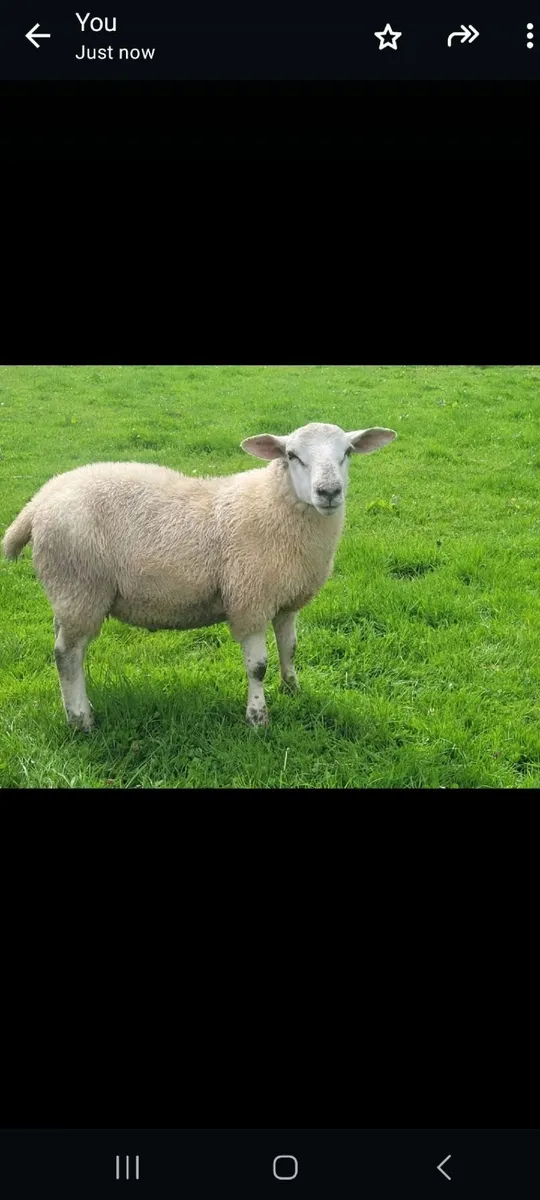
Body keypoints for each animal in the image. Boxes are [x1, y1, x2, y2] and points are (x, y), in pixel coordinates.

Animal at [2, 421, 396, 731]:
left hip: (67, 592)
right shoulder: (249, 600)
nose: (329, 492)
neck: (274, 503)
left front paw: (293, 689)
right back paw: (81, 719)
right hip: (80, 585)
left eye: (348, 451)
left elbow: (290, 648)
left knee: (68, 648)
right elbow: (258, 667)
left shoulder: (285, 600)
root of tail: (38, 502)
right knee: (66, 656)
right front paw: (258, 718)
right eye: (291, 455)